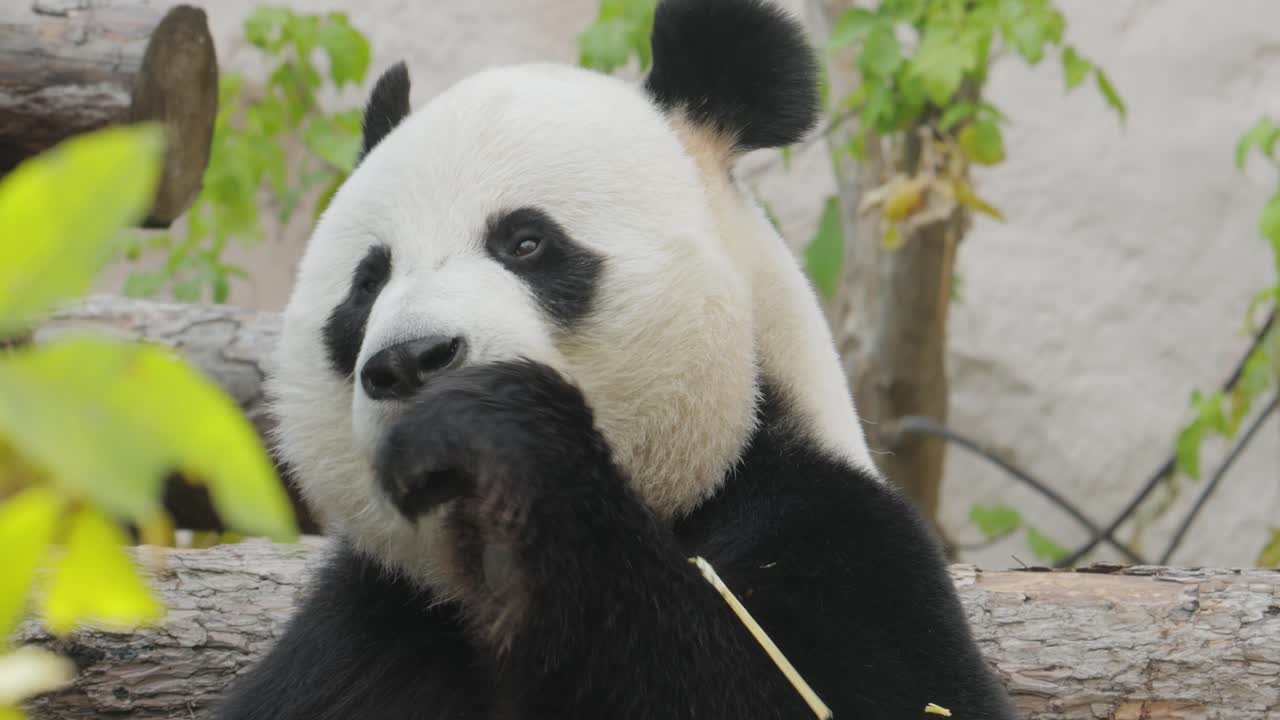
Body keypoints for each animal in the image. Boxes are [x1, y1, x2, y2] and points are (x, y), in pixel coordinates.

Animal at [215, 0, 1016, 718]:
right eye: (368, 282)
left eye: (525, 242)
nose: (412, 360)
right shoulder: (373, 632)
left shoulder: (841, 537)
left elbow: (846, 693)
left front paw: (491, 432)